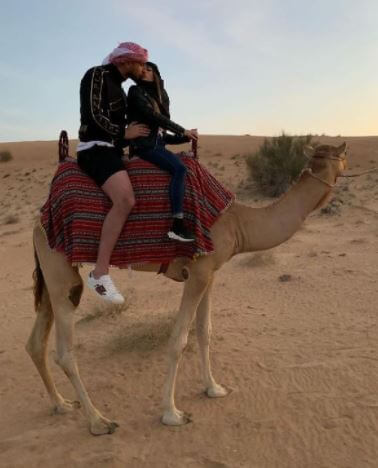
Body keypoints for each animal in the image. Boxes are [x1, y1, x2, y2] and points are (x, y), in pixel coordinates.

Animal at [27, 142, 348, 436]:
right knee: (64, 351)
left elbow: (204, 332)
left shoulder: (208, 272)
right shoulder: (198, 273)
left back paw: (62, 404)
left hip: (52, 275)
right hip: (60, 272)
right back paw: (99, 422)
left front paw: (214, 388)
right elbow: (178, 340)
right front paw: (172, 413)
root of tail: (38, 221)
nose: (349, 167)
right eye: (343, 155)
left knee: (36, 342)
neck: (237, 220)